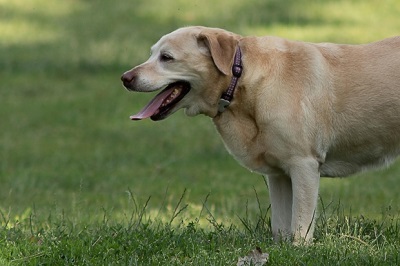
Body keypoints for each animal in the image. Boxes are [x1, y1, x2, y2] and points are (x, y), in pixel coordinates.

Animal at [121, 26, 400, 242]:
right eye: (152, 54)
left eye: (166, 57)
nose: (125, 78)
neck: (241, 78)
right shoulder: (279, 174)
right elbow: (280, 226)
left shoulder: (304, 165)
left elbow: (300, 225)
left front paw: (299, 250)